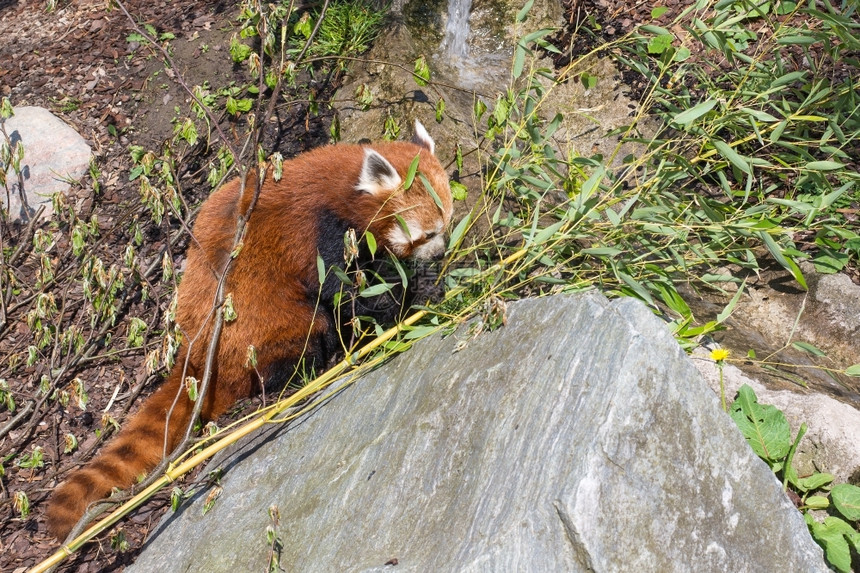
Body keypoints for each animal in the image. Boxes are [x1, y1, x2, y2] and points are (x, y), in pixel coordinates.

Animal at [45, 122, 456, 540]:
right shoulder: (324, 234)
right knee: (306, 334)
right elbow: (346, 291)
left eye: (448, 225)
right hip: (265, 326)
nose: (440, 253)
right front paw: (406, 307)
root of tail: (196, 355)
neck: (342, 188)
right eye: (427, 233)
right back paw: (305, 372)